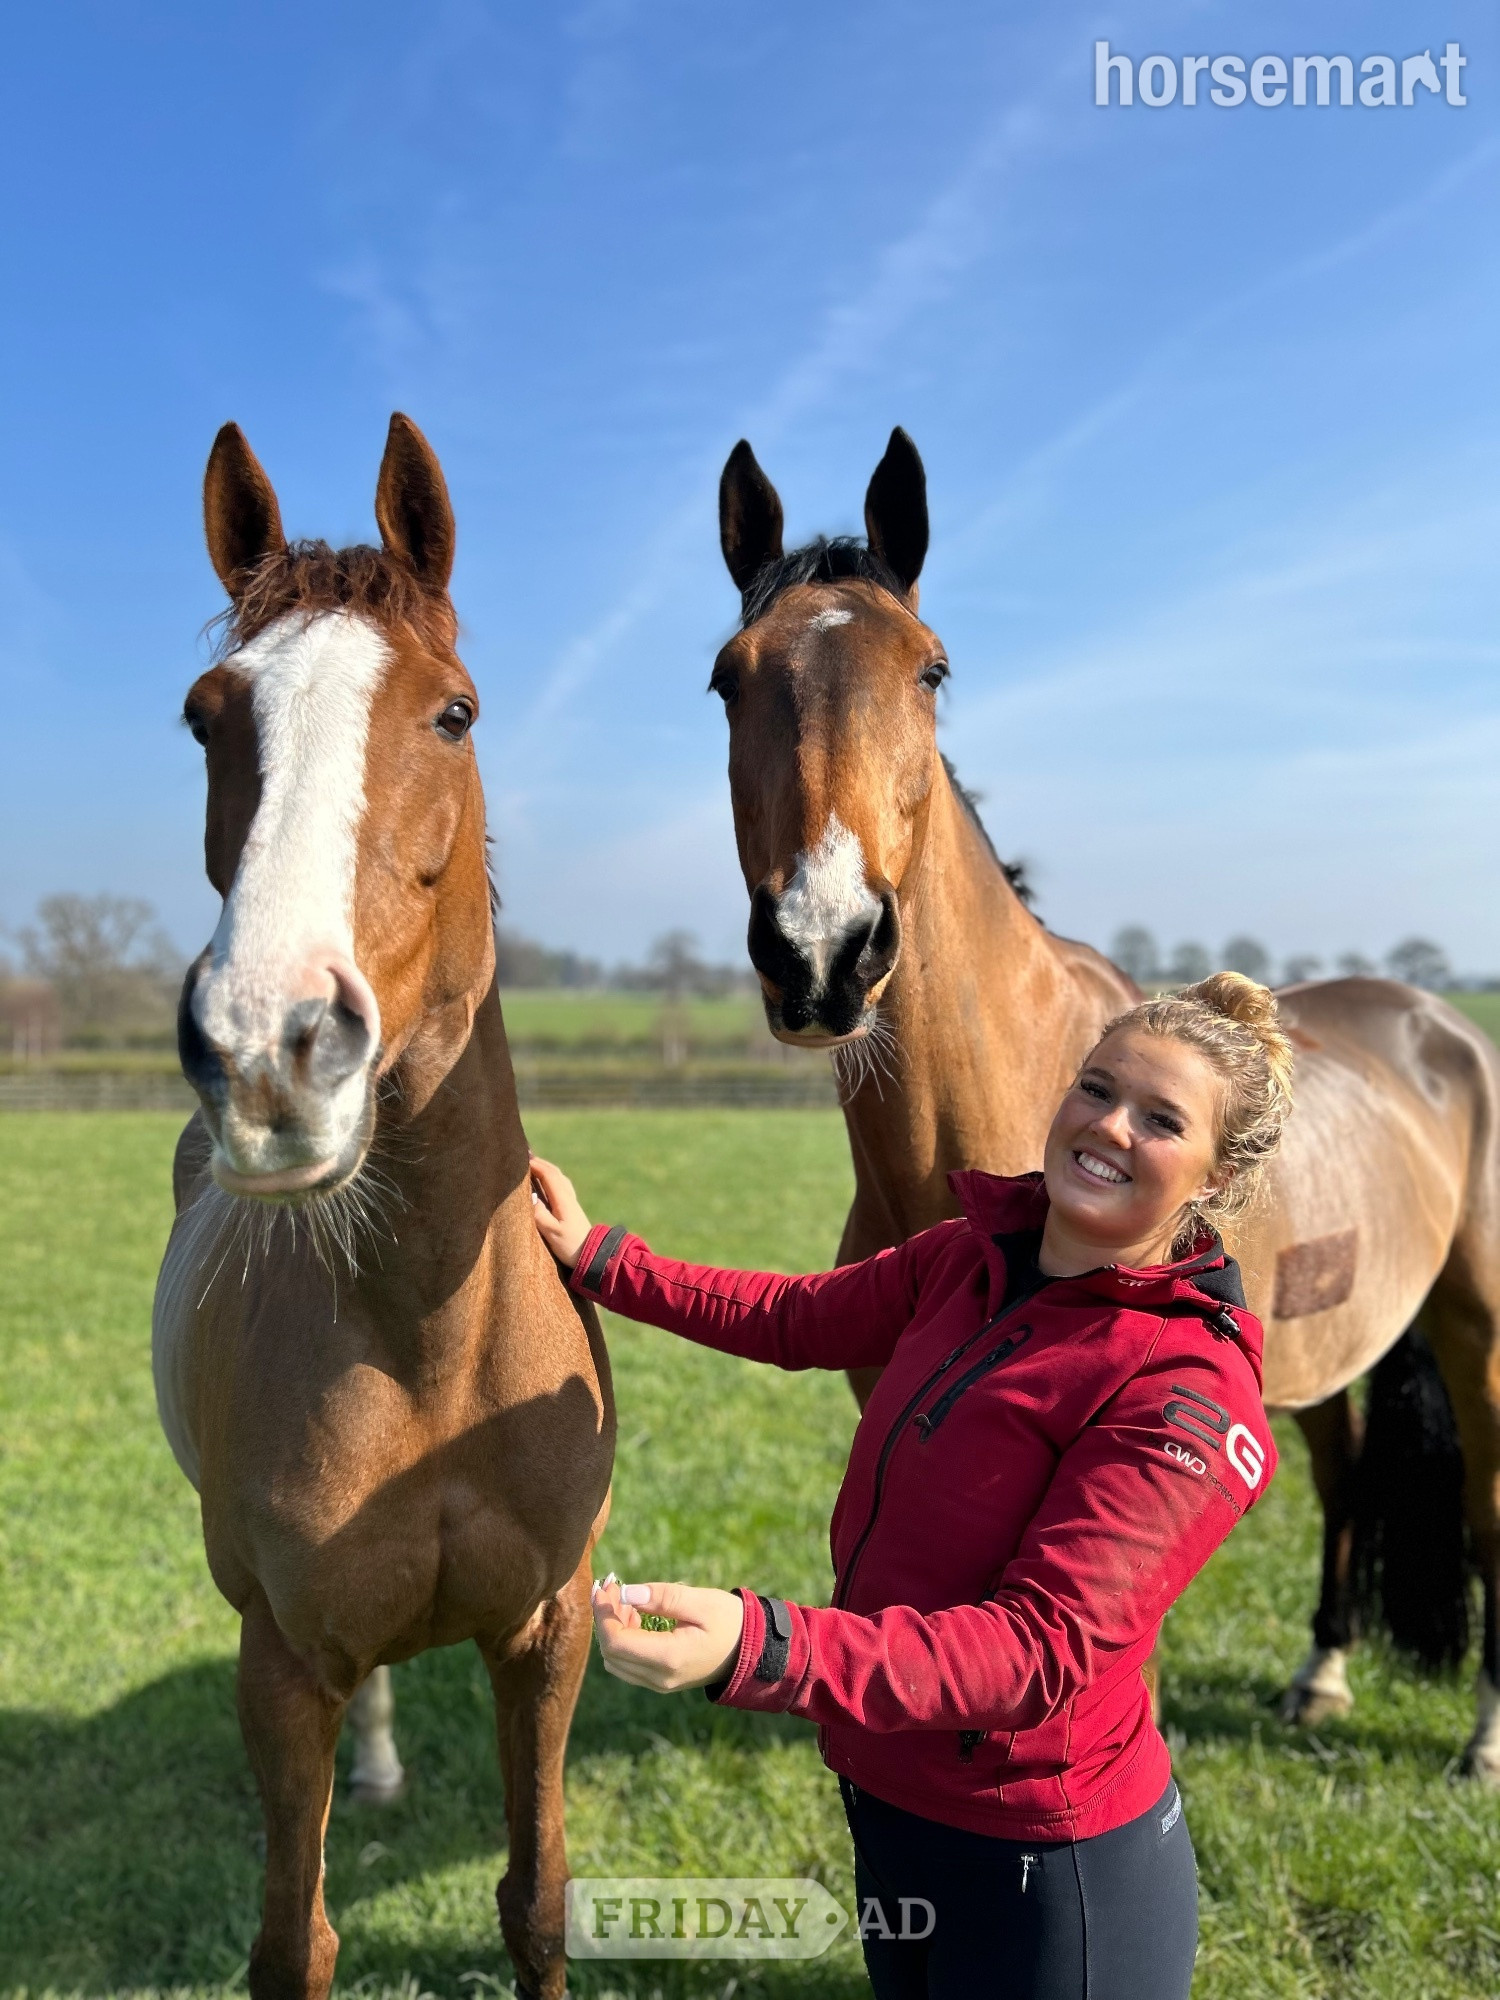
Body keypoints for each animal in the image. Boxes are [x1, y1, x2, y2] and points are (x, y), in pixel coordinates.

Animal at [152, 414, 614, 2000]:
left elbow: (536, 1901)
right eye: (205, 716)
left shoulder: (547, 1633)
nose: (268, 1051)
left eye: (454, 715)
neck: (427, 1336)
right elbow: (293, 1943)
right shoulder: (283, 1666)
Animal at [707, 427, 1500, 1779]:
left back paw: (1484, 1738)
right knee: (1346, 1481)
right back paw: (1322, 1673)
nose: (823, 950)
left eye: (931, 671)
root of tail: (1445, 1024)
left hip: (1480, 1328)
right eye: (726, 679)